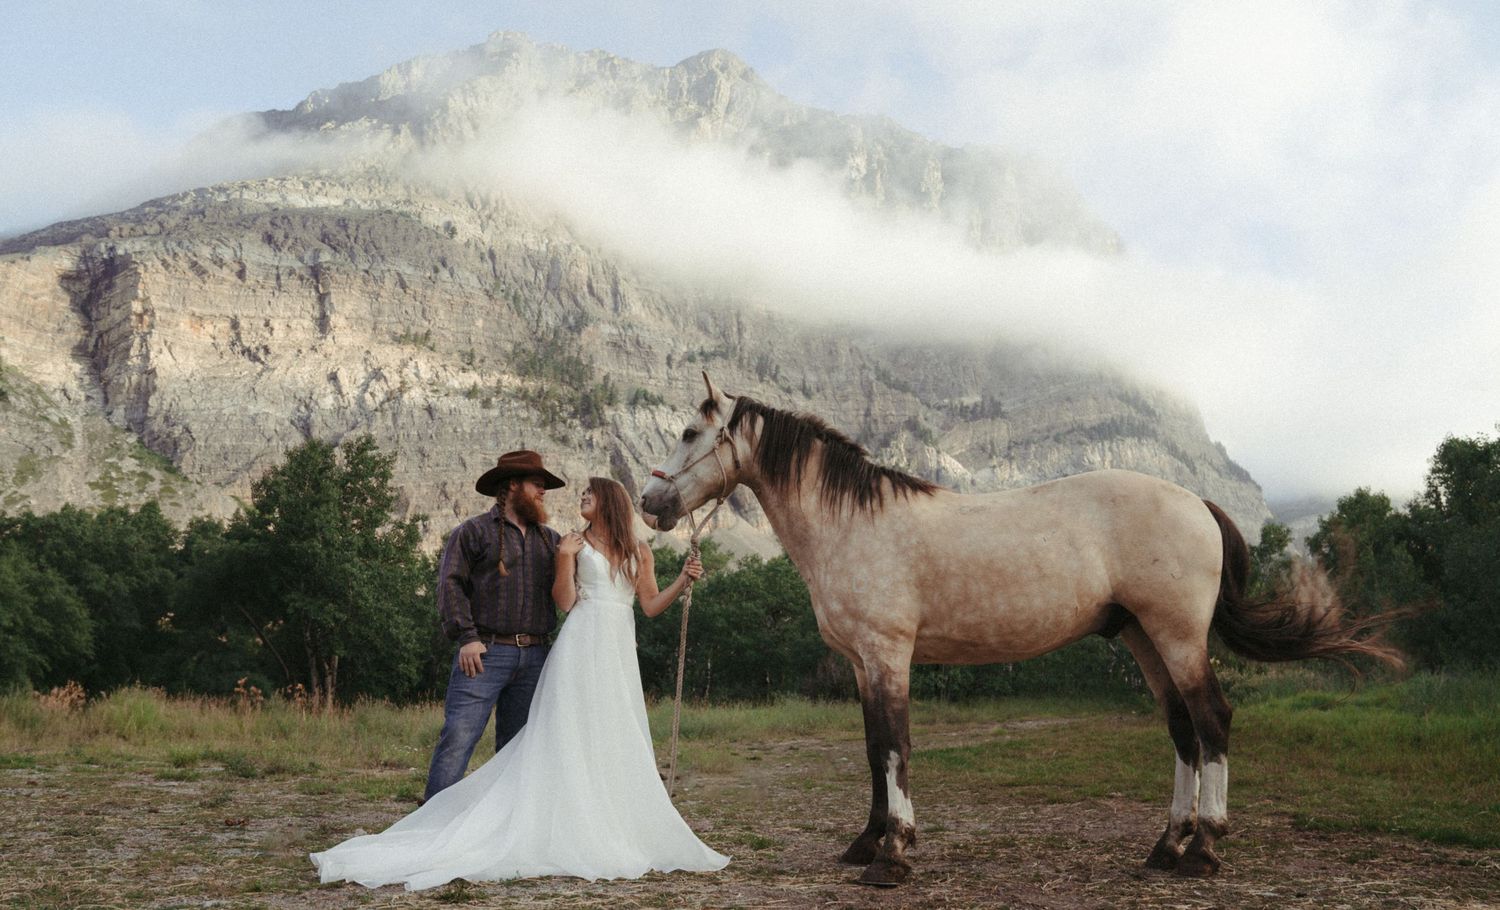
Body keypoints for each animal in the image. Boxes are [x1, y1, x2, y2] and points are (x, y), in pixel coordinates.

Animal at [639, 373, 1404, 887]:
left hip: (1179, 636)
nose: (651, 502)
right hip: (1145, 641)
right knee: (1183, 731)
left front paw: (893, 856)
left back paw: (1206, 850)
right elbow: (871, 750)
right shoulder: (861, 662)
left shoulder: (888, 655)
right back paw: (1166, 848)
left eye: (689, 433)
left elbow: (893, 748)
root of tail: (1196, 501)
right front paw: (867, 842)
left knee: (1211, 720)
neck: (854, 523)